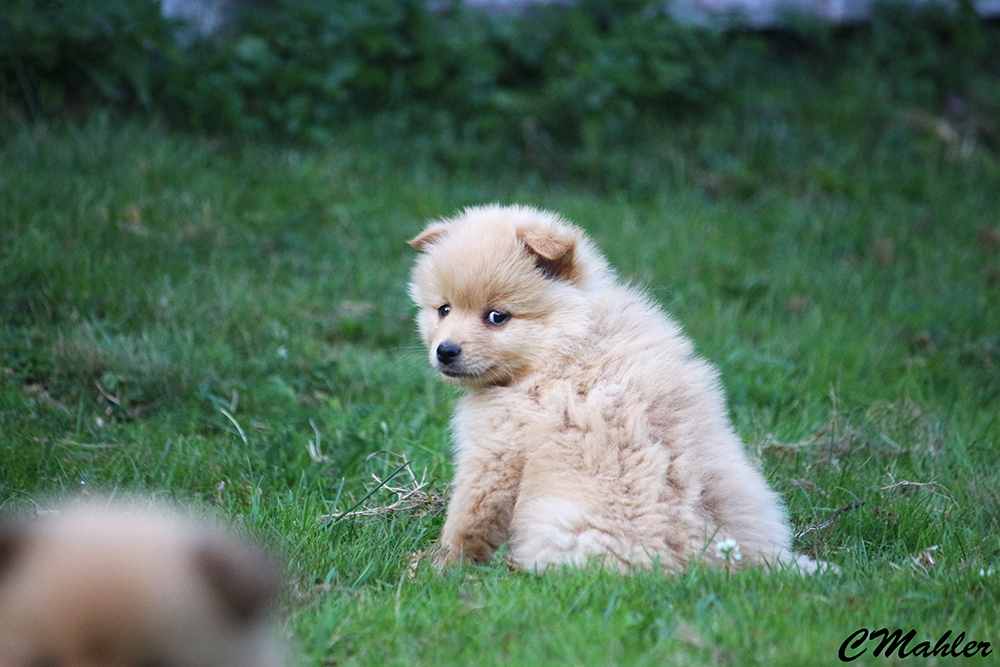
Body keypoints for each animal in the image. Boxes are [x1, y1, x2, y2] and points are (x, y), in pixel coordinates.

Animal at [408, 204, 820, 573]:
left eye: (497, 317)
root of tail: (732, 561)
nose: (445, 351)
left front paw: (436, 566)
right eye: (443, 309)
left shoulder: (498, 445)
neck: (565, 344)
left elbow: (470, 519)